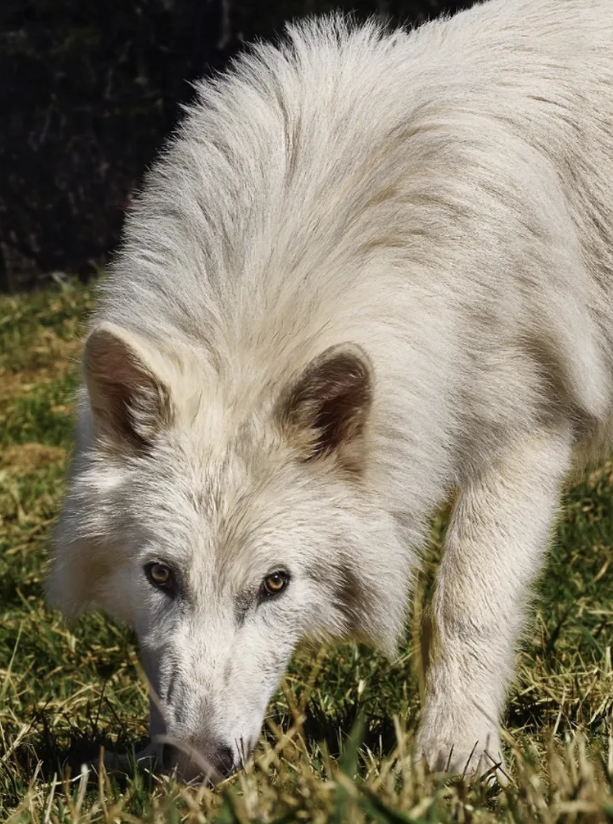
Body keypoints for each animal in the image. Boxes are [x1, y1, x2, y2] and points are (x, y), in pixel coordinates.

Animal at [49, 0, 613, 782]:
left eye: (275, 584)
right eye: (160, 574)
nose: (195, 765)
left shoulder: (526, 435)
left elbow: (465, 603)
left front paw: (458, 761)